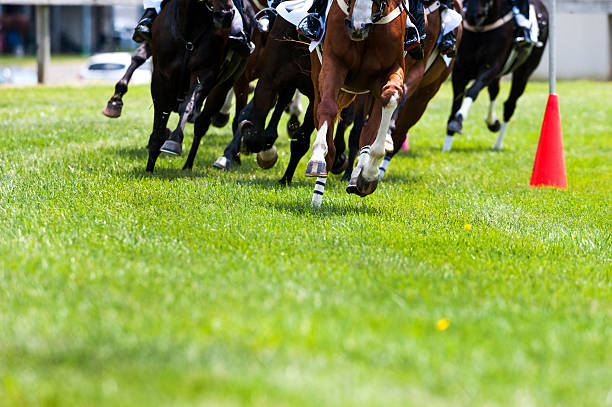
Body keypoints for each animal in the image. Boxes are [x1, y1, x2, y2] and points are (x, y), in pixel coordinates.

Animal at [145, 0, 250, 172]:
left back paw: (188, 164)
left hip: (225, 84)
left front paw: (174, 141)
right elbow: (161, 113)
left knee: (202, 124)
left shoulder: (205, 73)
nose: (226, 15)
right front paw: (150, 164)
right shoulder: (161, 76)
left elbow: (187, 105)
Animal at [306, 0, 412, 207]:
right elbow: (328, 107)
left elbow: (390, 97)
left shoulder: (392, 67)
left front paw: (369, 174)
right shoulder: (334, 61)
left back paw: (359, 174)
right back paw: (317, 194)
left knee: (369, 129)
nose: (358, 26)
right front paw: (318, 157)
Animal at [442, 0, 548, 151]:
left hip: (524, 72)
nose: (473, 16)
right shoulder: (460, 71)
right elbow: (456, 102)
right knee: (494, 92)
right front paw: (447, 143)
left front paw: (458, 120)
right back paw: (492, 123)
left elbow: (472, 91)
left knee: (510, 104)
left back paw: (498, 144)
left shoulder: (491, 67)